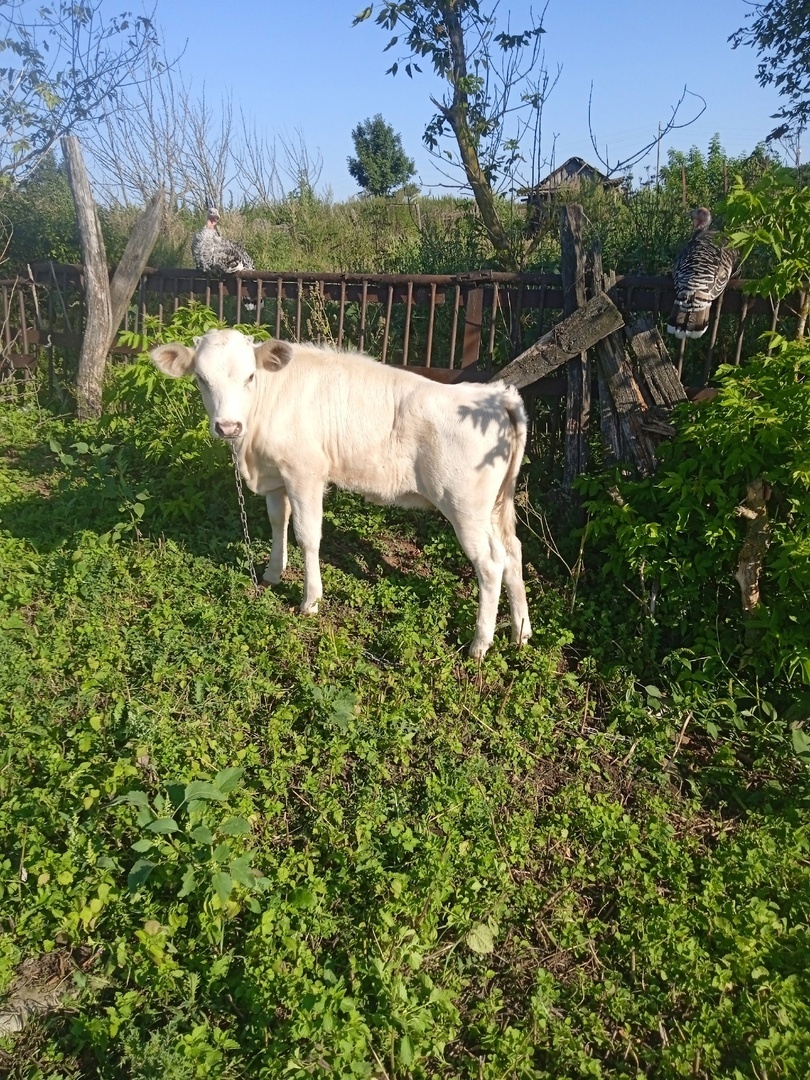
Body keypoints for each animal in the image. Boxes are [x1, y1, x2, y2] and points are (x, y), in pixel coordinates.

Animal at [152, 328, 533, 652]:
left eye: (249, 377)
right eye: (201, 379)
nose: (228, 426)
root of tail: (494, 396)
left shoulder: (305, 472)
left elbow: (307, 535)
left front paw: (310, 601)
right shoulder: (276, 475)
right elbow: (278, 522)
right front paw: (272, 574)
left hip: (464, 506)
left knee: (490, 564)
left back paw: (480, 645)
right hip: (494, 505)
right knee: (512, 551)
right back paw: (521, 632)